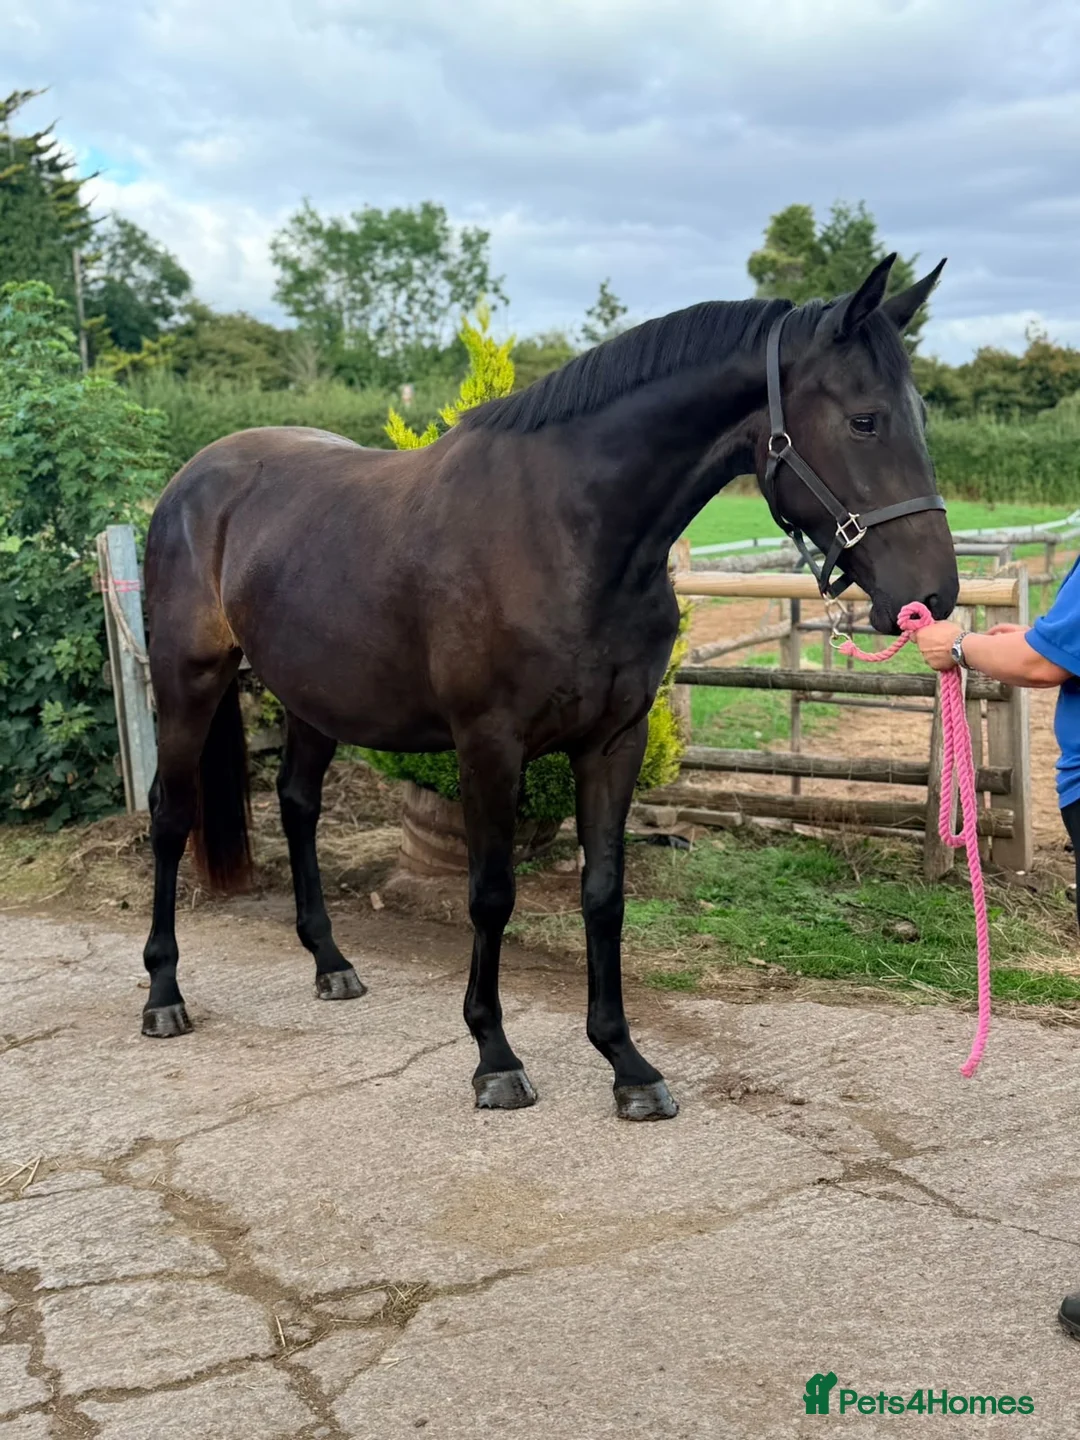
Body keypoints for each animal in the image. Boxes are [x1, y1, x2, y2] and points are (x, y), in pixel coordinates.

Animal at [139, 252, 958, 1121]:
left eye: (918, 415)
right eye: (865, 421)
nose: (935, 596)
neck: (567, 532)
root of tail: (193, 479)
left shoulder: (613, 740)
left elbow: (603, 892)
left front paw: (627, 1062)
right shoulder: (489, 745)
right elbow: (491, 893)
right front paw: (494, 1057)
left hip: (314, 694)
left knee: (297, 803)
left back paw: (330, 962)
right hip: (189, 679)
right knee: (171, 813)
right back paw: (163, 992)